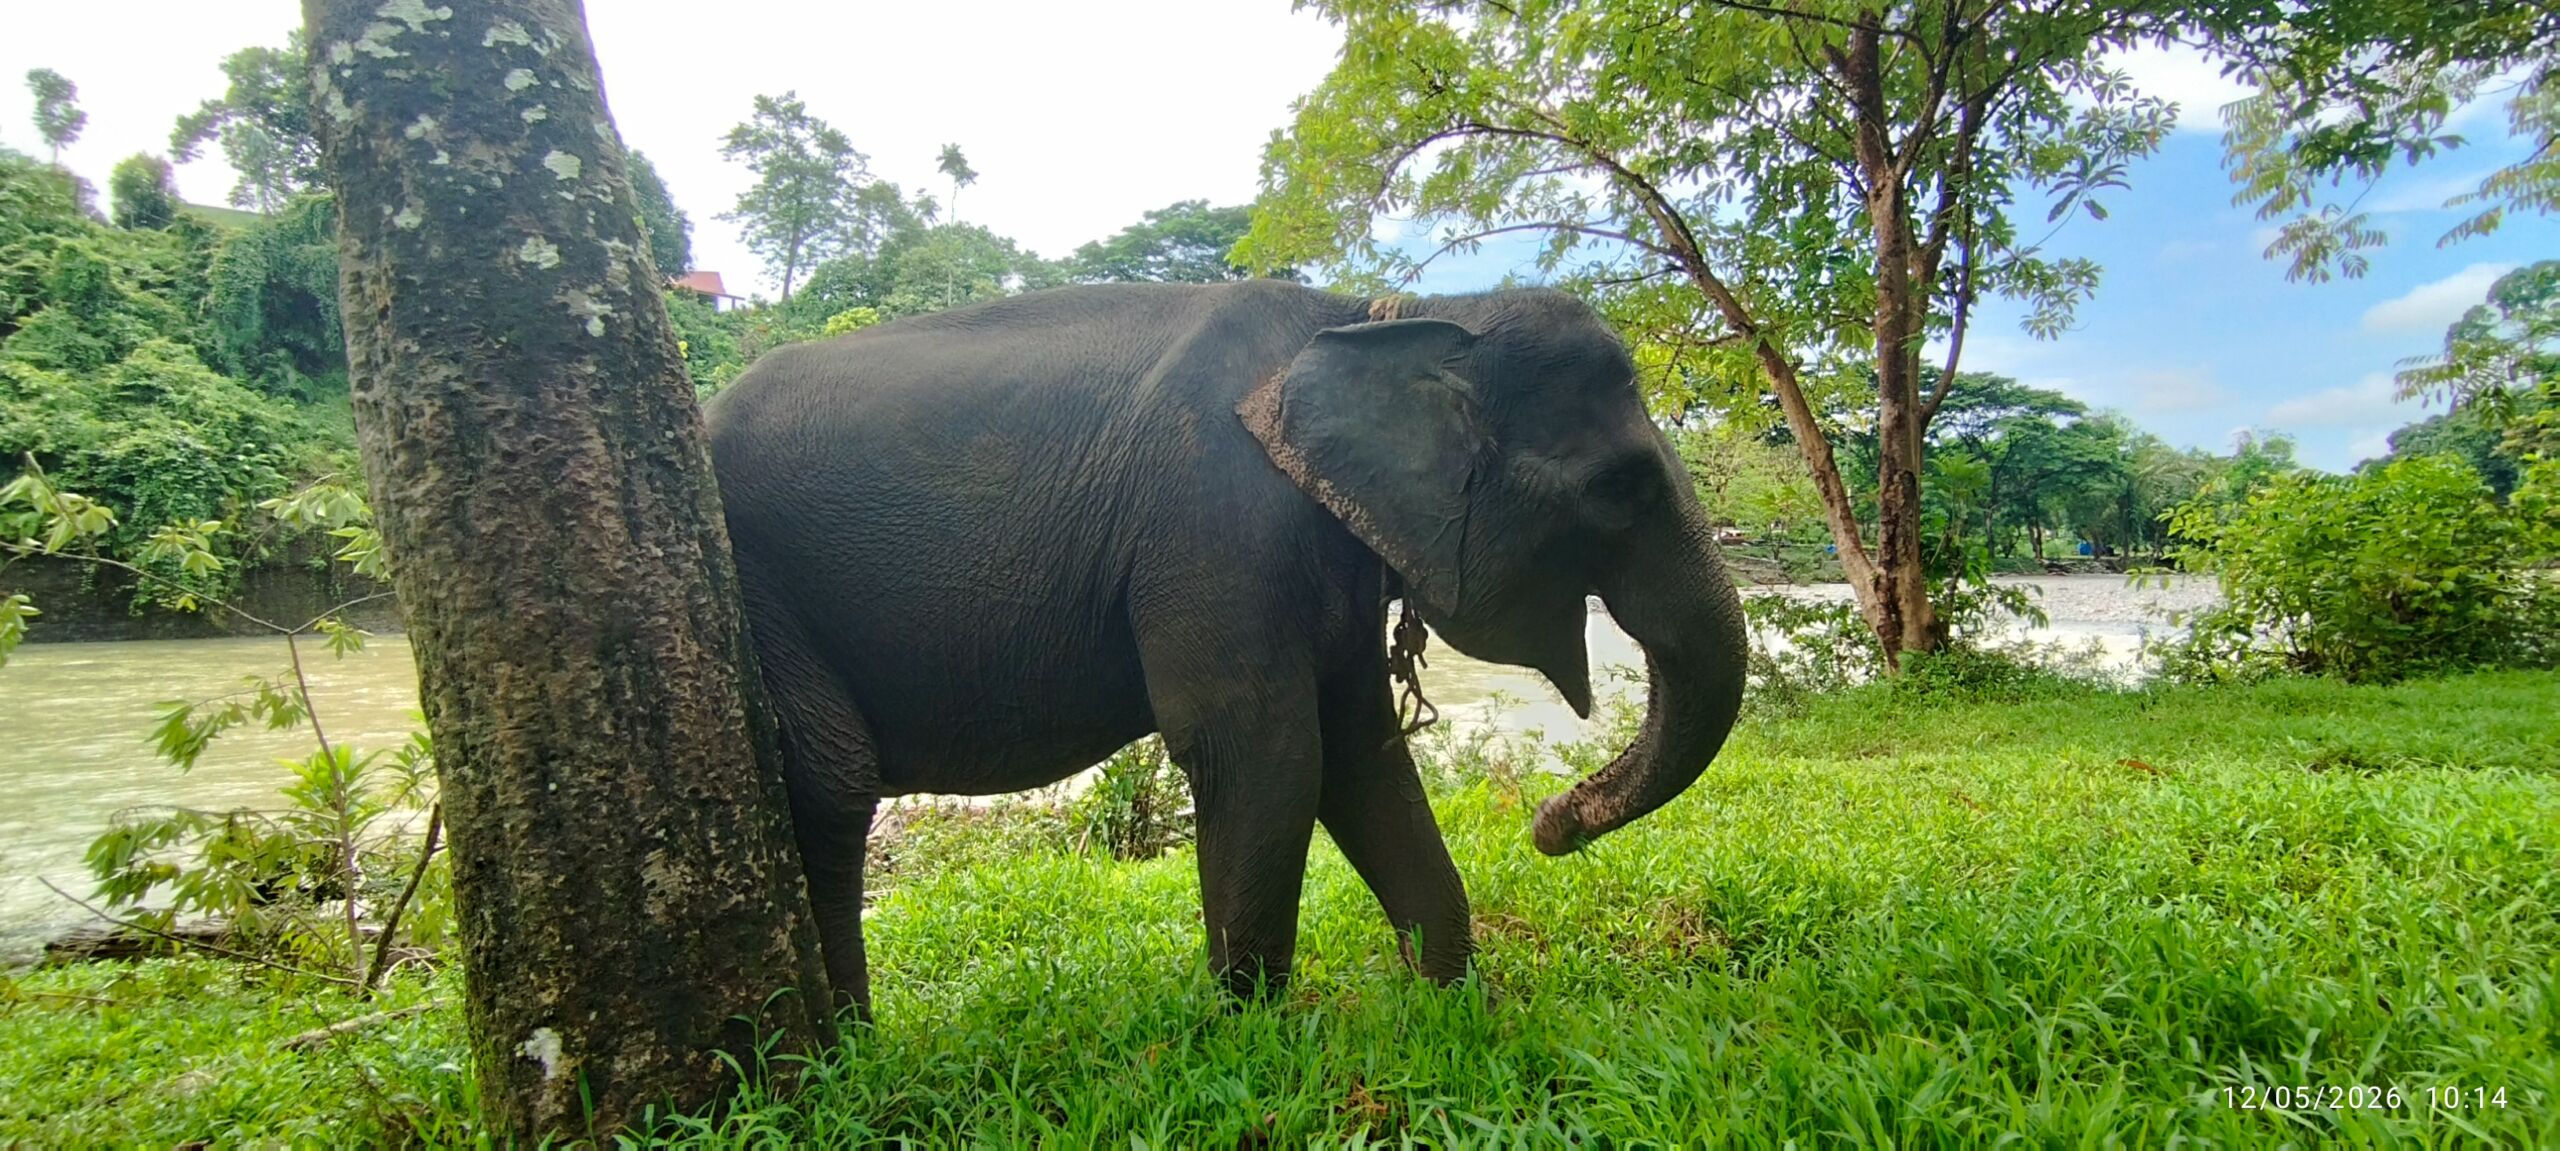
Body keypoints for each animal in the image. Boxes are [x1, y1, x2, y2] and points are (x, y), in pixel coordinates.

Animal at [703, 280, 1747, 1016]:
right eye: (1620, 488)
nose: (1550, 822)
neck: (1381, 312)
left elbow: (1362, 756)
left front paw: (1455, 1013)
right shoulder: (1215, 524)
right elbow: (1265, 752)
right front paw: (1250, 1037)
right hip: (759, 593)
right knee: (831, 786)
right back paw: (842, 1059)